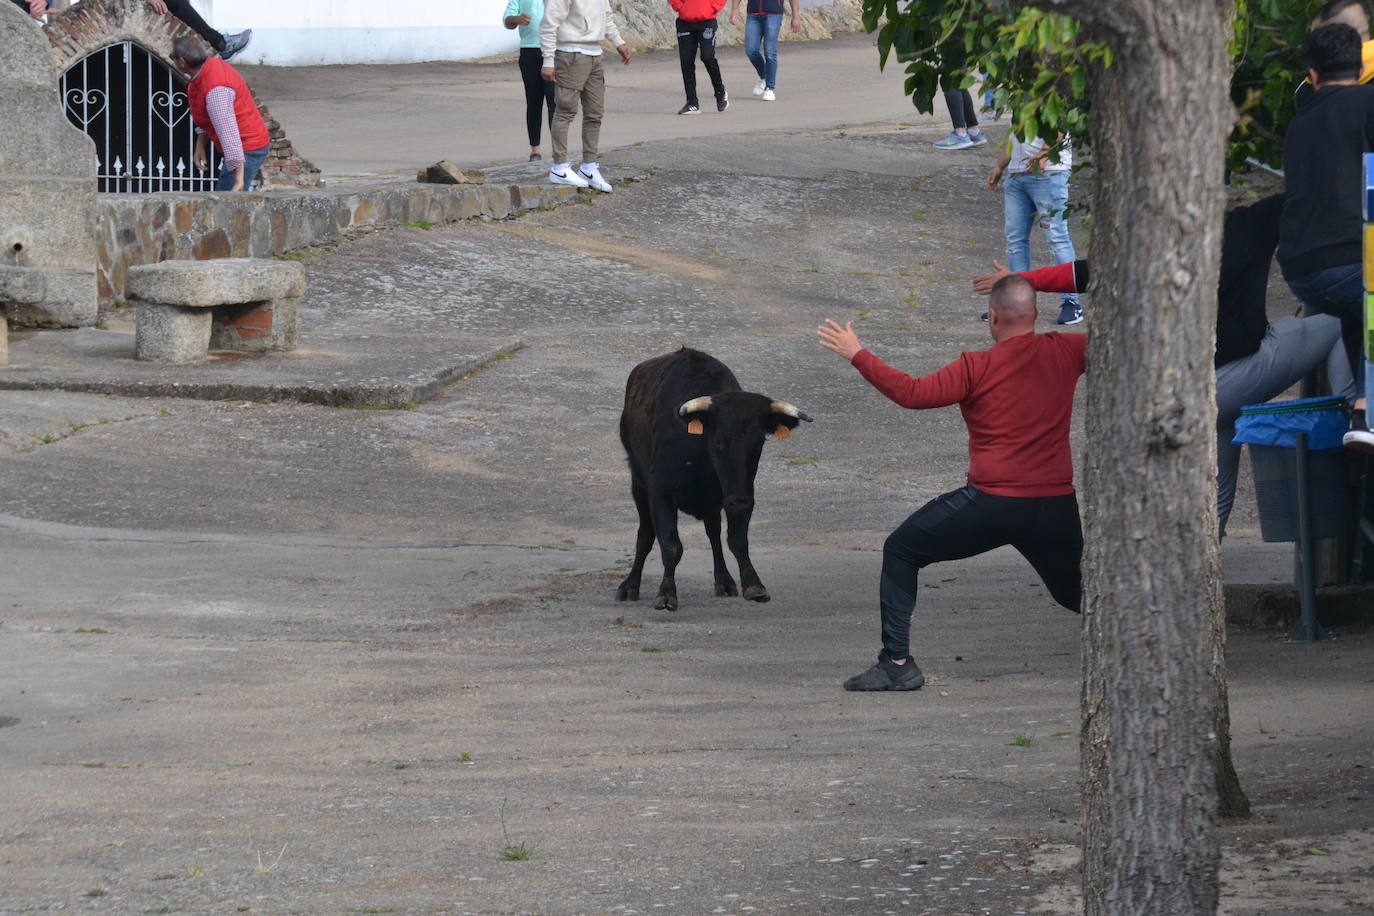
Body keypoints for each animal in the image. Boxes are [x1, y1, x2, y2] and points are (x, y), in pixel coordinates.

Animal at [618, 347, 807, 612]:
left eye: (759, 443)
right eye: (719, 441)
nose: (740, 501)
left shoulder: (735, 495)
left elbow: (737, 540)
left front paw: (753, 584)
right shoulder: (660, 491)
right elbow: (670, 544)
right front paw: (666, 593)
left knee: (713, 532)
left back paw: (724, 580)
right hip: (638, 482)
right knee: (645, 534)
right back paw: (630, 586)